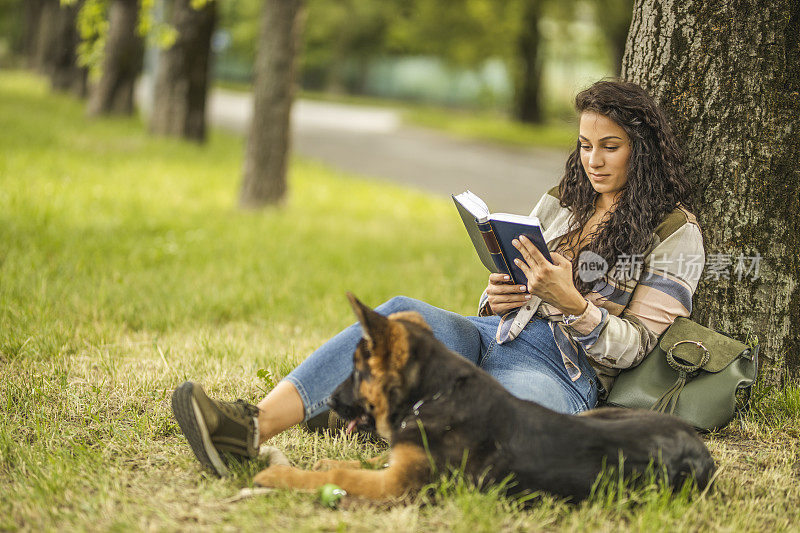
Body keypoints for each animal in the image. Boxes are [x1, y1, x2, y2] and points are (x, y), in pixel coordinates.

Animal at [253, 294, 716, 500]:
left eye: (358, 370)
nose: (330, 402)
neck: (433, 396)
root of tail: (700, 452)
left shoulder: (398, 485)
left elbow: (342, 477)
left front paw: (279, 476)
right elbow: (359, 462)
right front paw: (324, 461)